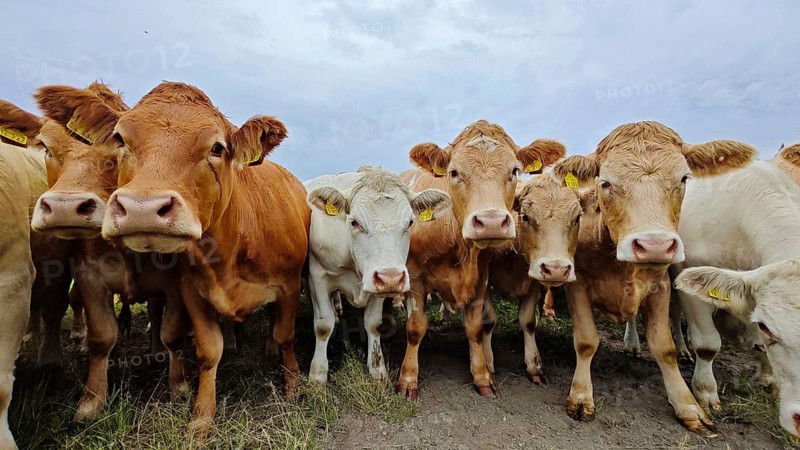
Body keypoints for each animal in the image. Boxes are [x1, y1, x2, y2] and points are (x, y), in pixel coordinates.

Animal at [35, 81, 310, 437]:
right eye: (120, 139)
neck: (231, 250)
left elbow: (285, 336)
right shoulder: (190, 292)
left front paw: (292, 386)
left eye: (217, 148)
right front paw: (201, 418)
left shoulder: (288, 285)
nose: (142, 209)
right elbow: (207, 351)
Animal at [304, 166, 450, 383]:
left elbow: (373, 323)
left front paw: (377, 369)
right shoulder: (318, 277)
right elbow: (323, 325)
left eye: (410, 222)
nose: (391, 278)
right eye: (354, 222)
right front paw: (318, 374)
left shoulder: (378, 287)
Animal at [398, 120, 565, 398]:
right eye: (454, 172)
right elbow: (415, 327)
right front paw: (408, 378)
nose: (491, 222)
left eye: (514, 171)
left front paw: (482, 376)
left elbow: (476, 327)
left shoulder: (480, 278)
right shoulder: (414, 277)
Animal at [486, 174, 585, 384]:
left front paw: (534, 364)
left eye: (577, 218)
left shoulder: (534, 283)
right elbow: (488, 319)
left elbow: (528, 321)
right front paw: (488, 362)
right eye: (526, 216)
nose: (556, 269)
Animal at [549, 121, 756, 436]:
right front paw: (582, 396)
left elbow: (664, 347)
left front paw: (688, 405)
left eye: (684, 178)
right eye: (605, 183)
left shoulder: (660, 286)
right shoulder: (578, 284)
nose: (654, 245)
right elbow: (586, 341)